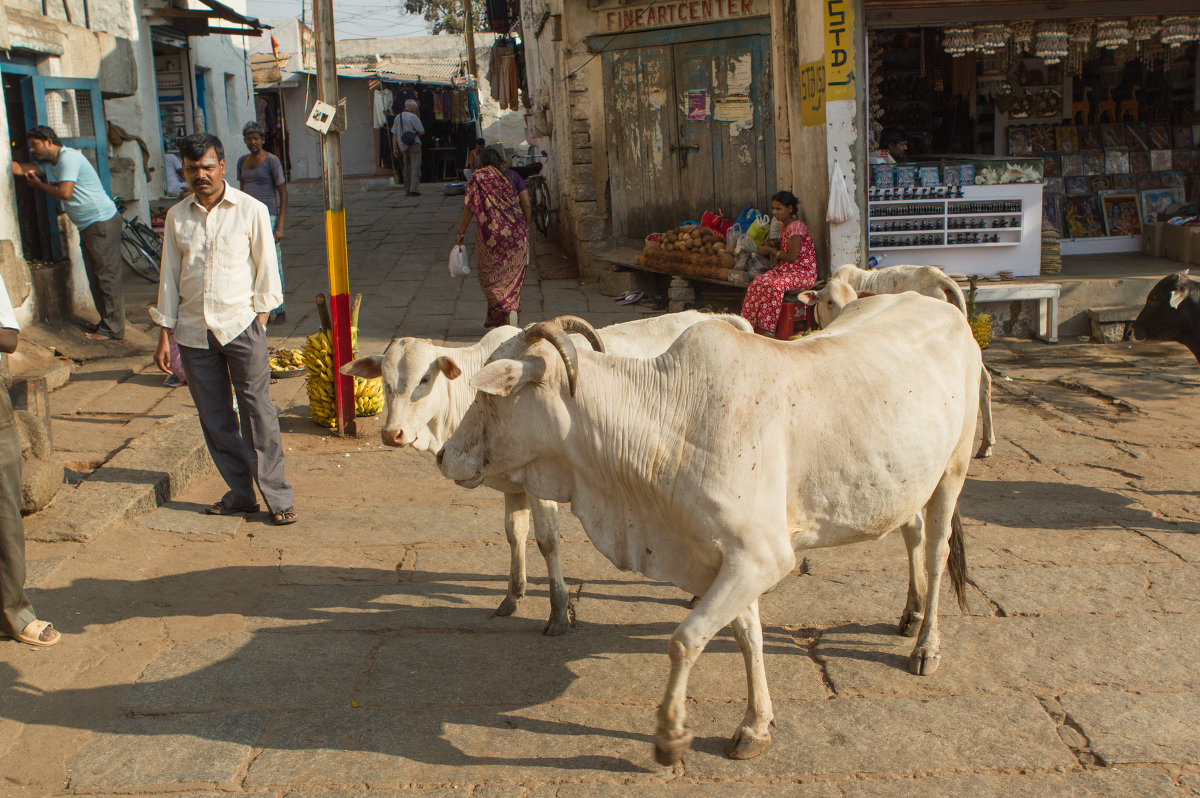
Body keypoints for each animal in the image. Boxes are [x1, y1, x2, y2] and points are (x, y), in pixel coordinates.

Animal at [340, 312, 748, 633]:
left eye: (424, 379)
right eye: (385, 380)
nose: (392, 434)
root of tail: (718, 318)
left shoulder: (542, 485)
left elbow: (547, 540)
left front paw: (558, 613)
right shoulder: (511, 486)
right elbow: (514, 533)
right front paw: (512, 596)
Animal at [441, 291, 984, 758]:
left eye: (489, 398)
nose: (444, 455)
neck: (667, 422)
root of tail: (943, 307)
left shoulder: (762, 558)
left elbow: (685, 639)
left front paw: (670, 736)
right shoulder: (725, 558)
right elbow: (747, 637)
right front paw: (756, 725)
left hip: (954, 470)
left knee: (936, 551)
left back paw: (926, 644)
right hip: (903, 481)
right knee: (911, 531)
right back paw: (910, 612)